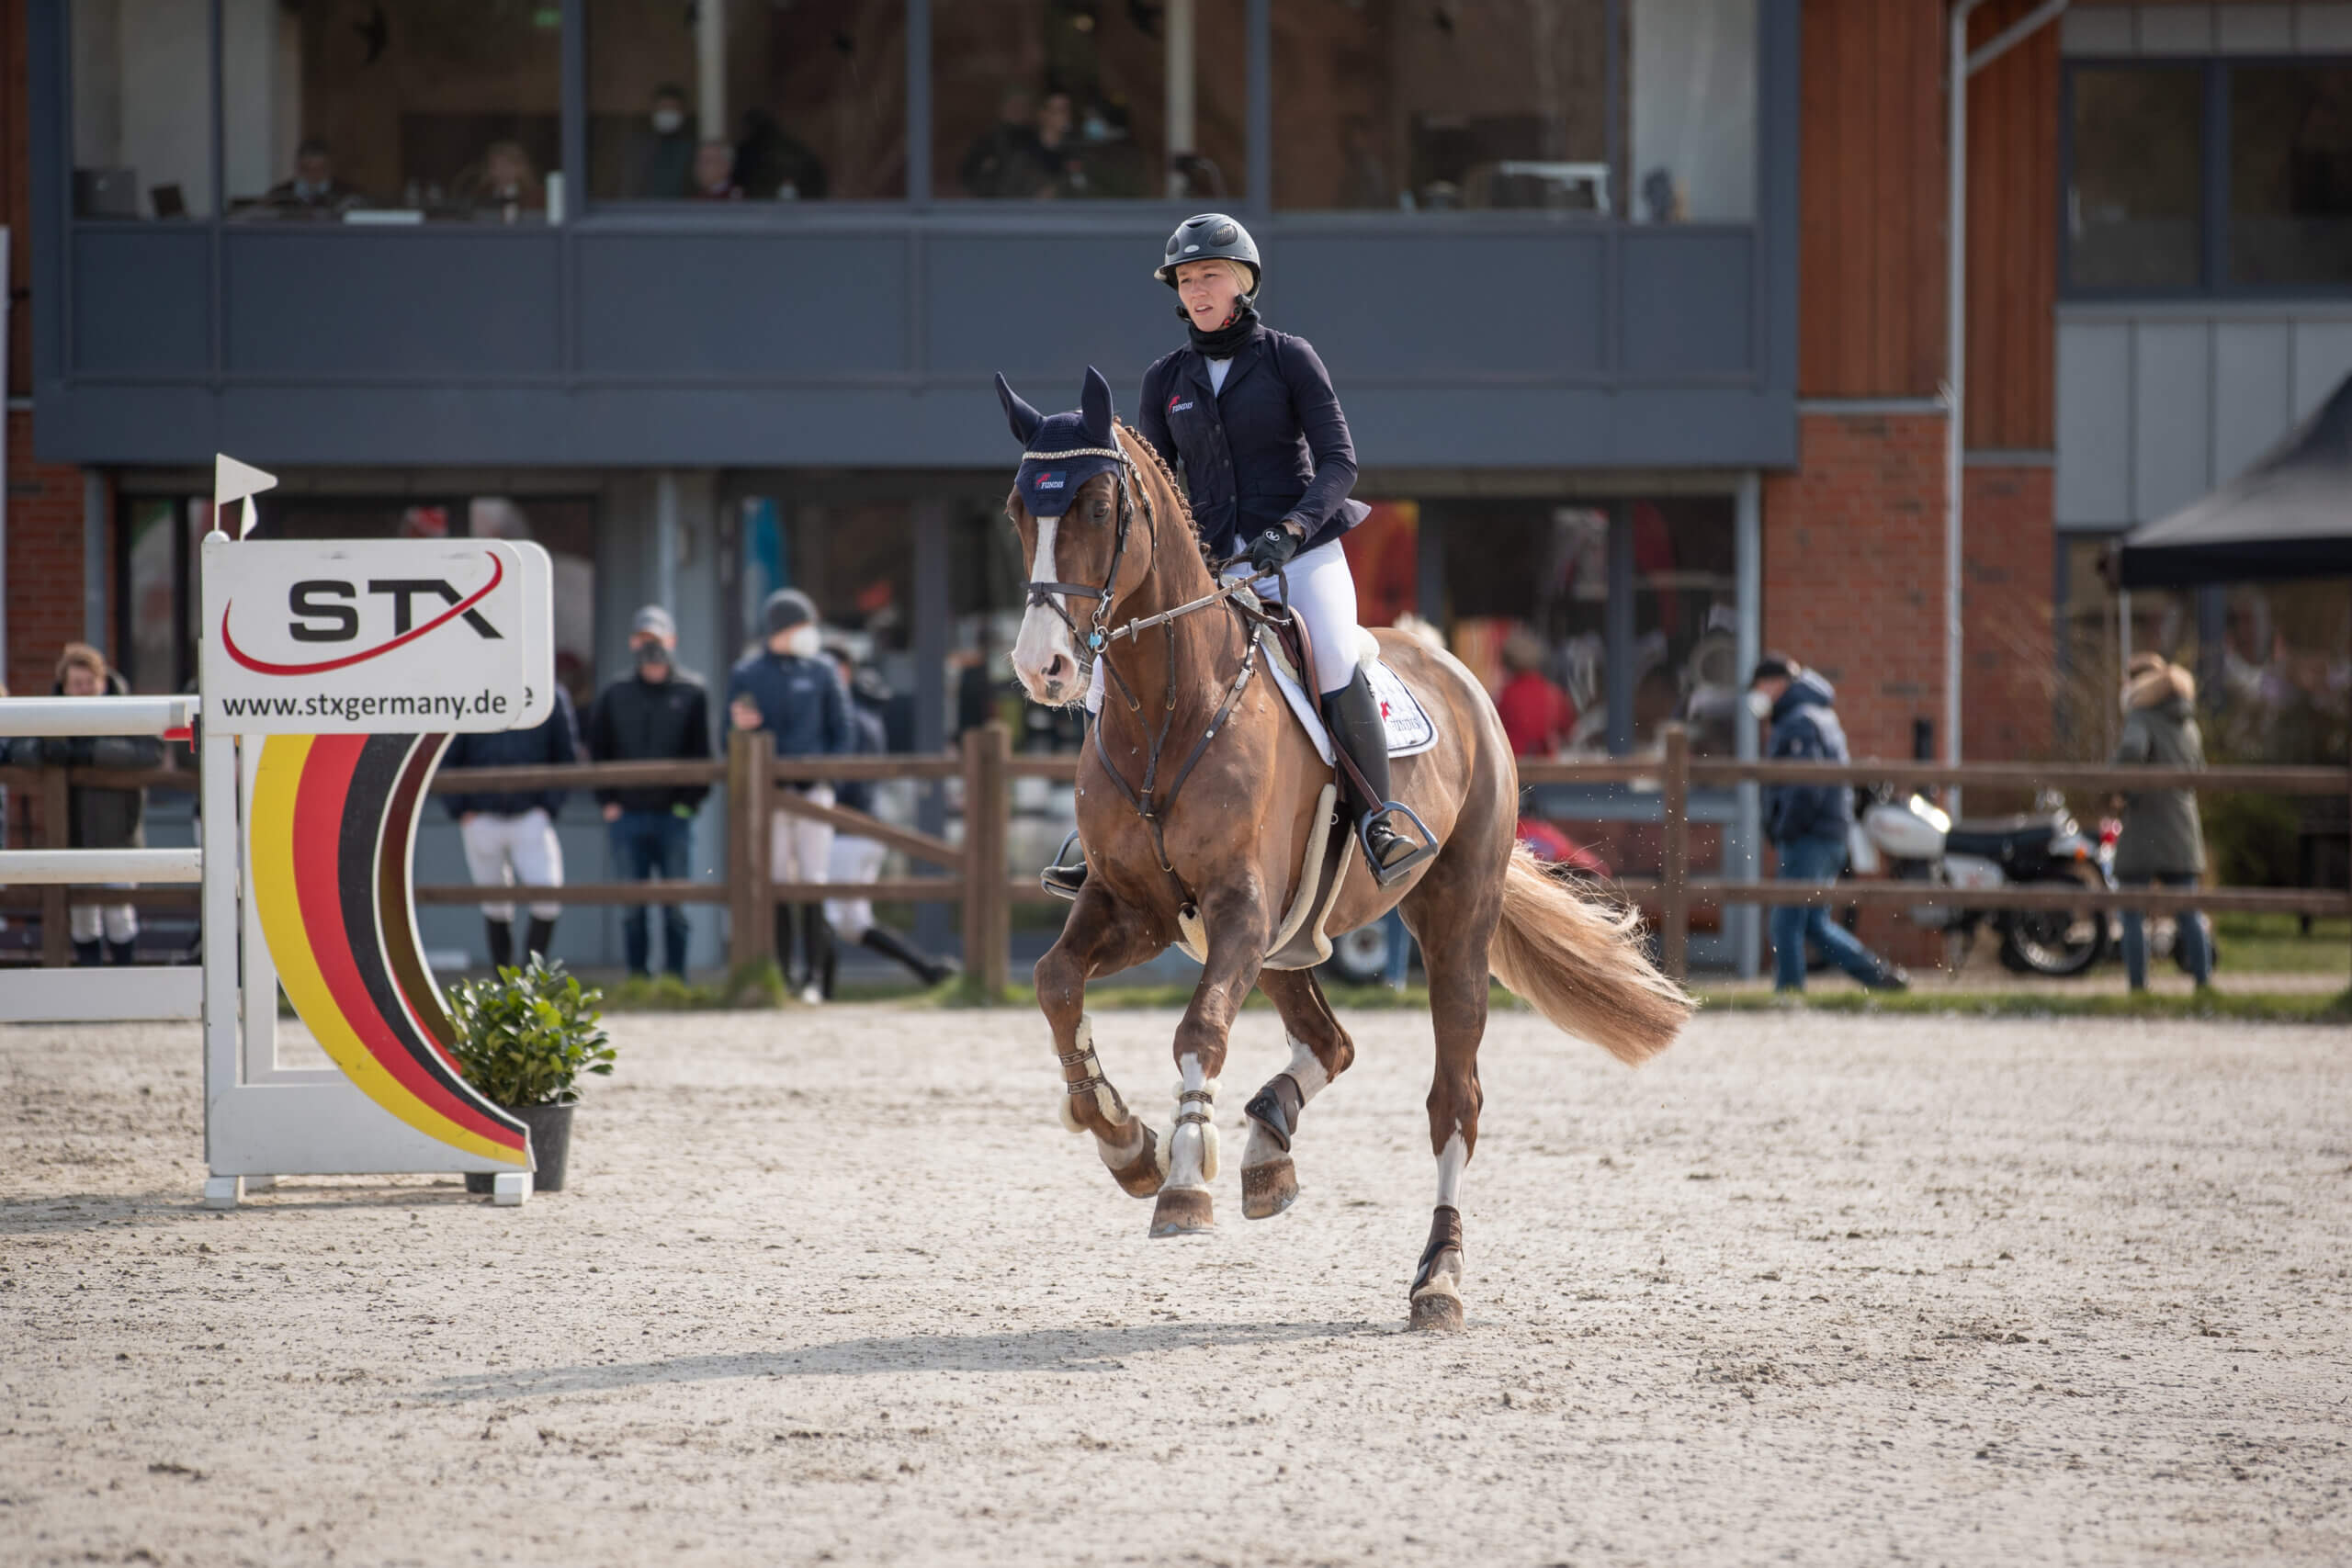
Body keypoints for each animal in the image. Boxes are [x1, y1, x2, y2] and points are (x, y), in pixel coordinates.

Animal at [997, 364, 1693, 1325]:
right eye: (1017, 512)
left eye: (1098, 507)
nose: (1043, 668)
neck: (1171, 705)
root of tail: (1463, 676)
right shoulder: (1134, 906)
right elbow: (1055, 981)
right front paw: (1125, 1139)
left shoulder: (1239, 907)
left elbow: (1199, 1028)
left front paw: (1184, 1178)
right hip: (1289, 939)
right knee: (1331, 1044)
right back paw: (1268, 1142)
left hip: (1449, 922)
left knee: (1453, 1101)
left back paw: (1438, 1275)